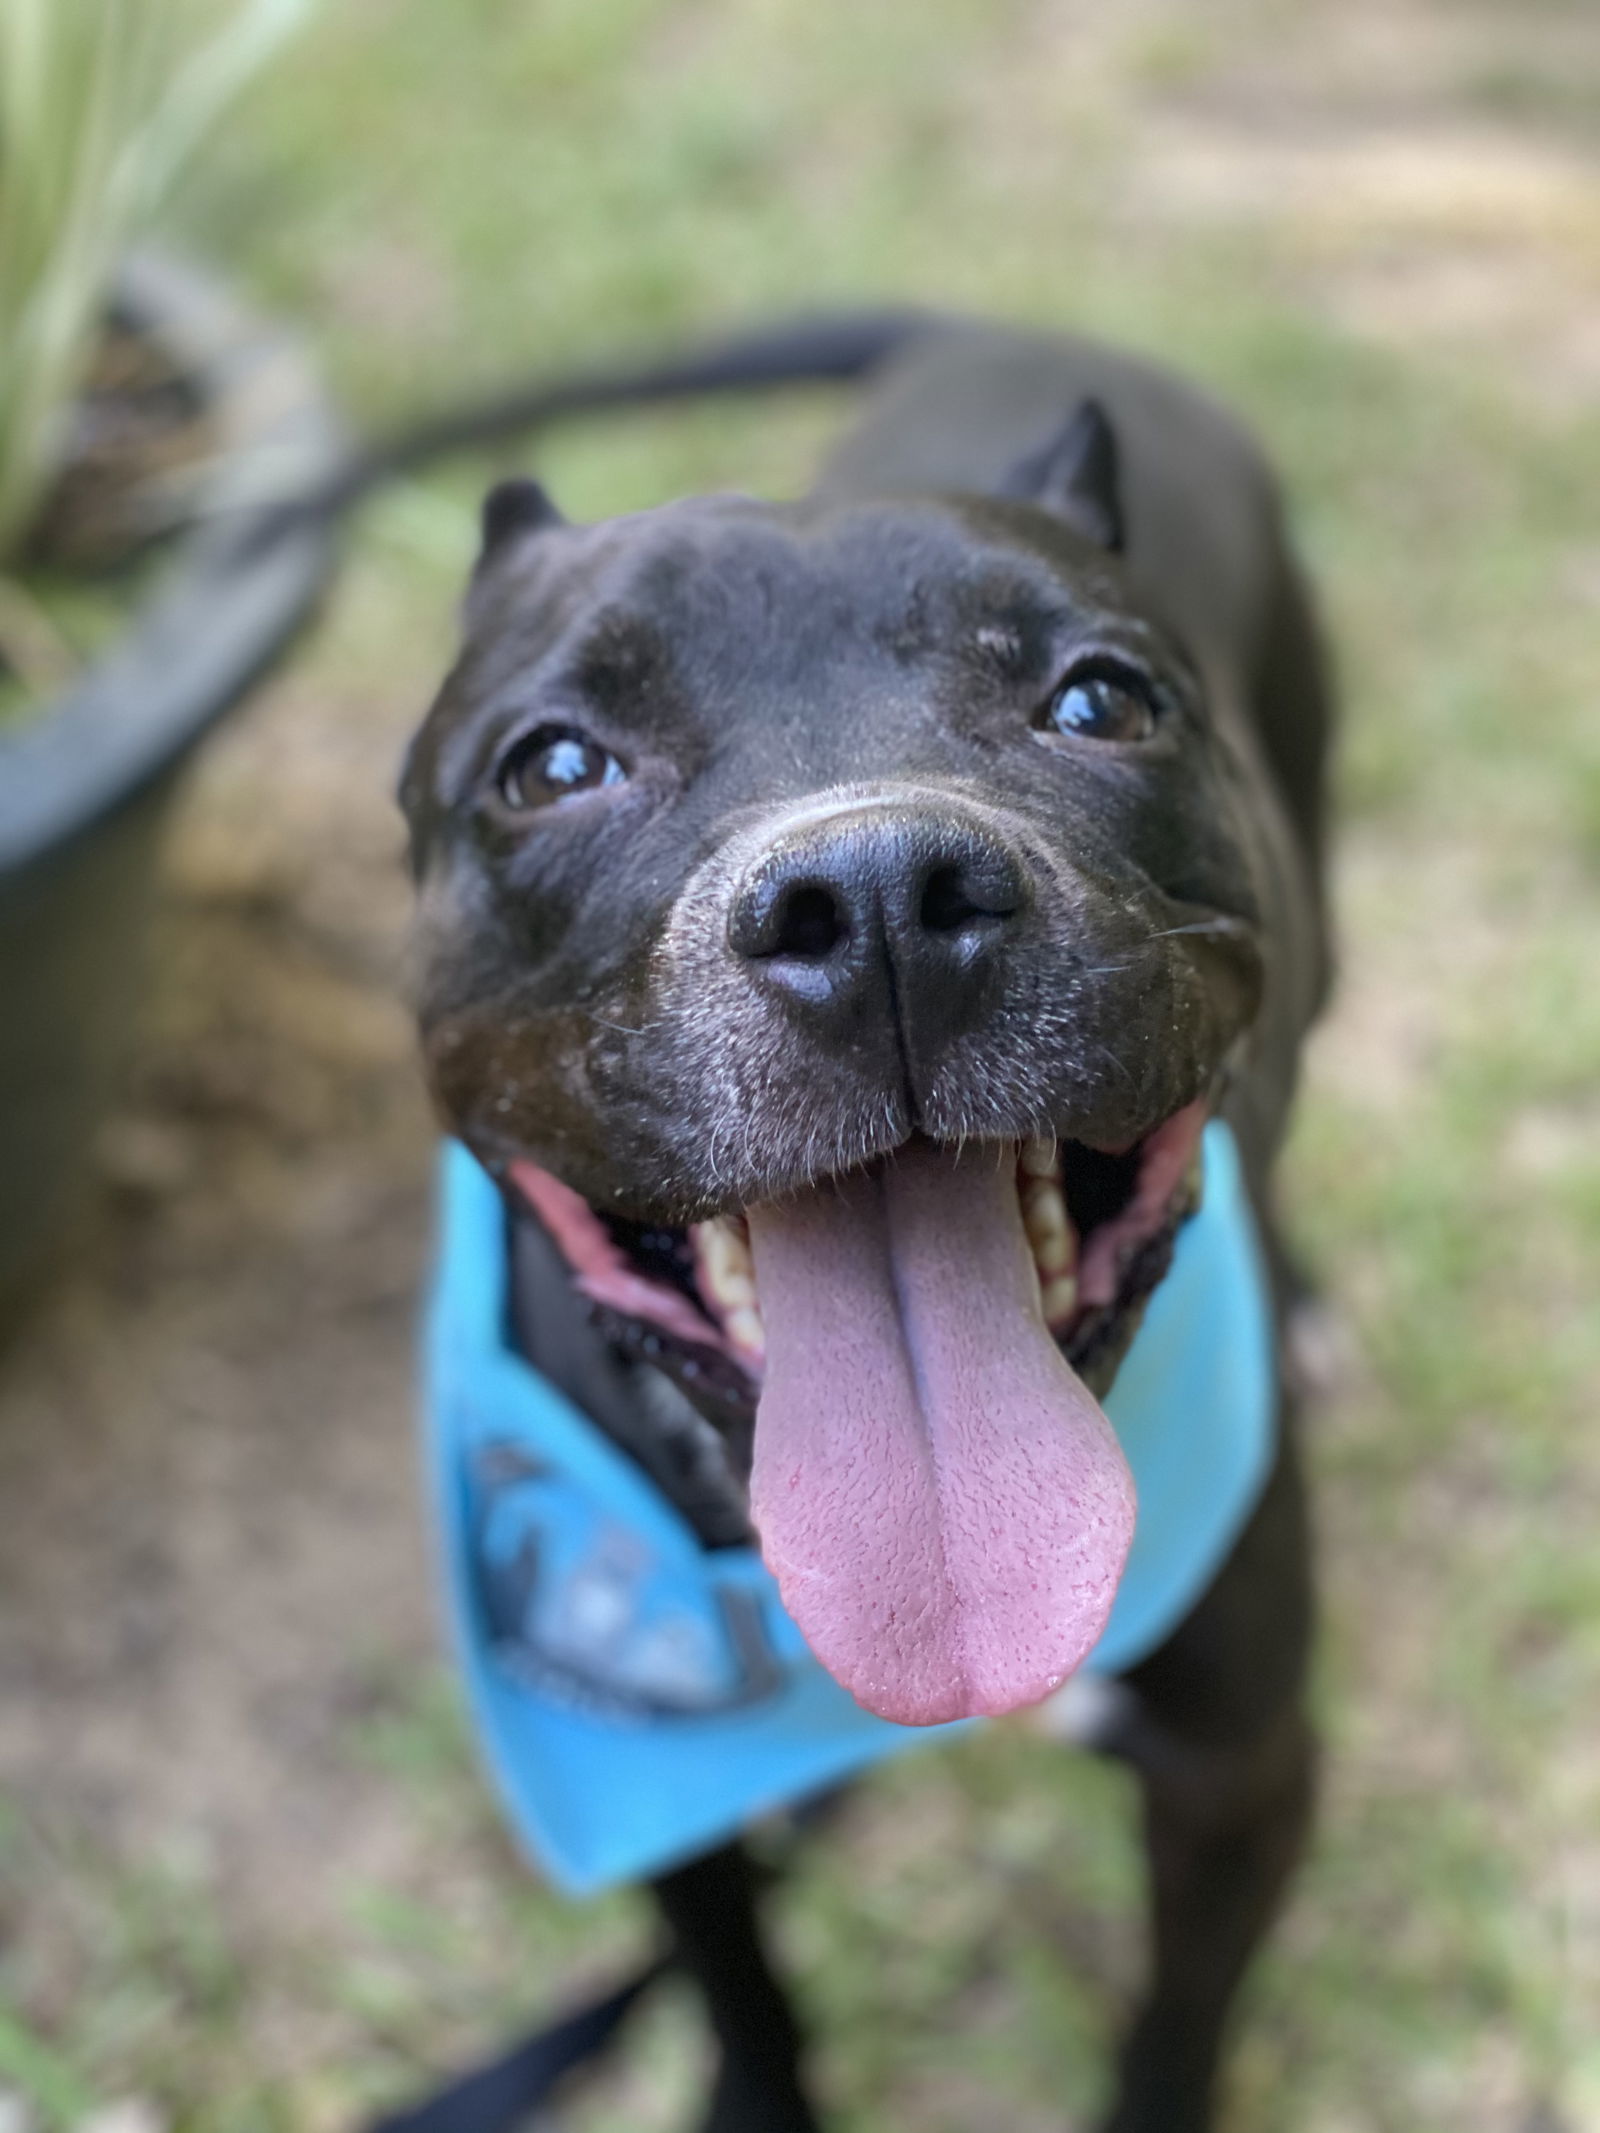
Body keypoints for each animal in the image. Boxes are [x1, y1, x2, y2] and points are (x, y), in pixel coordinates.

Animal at [401, 315, 1339, 2133]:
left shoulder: (1240, 1776)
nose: (883, 894)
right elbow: (745, 1990)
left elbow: (1175, 2023)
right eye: (551, 763)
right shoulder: (671, 1813)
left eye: (1101, 697)